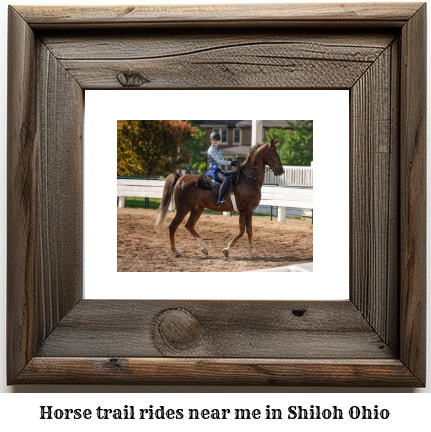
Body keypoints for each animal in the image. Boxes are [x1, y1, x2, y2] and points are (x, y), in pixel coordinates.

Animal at [154, 140, 284, 258]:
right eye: (274, 154)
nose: (281, 171)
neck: (249, 178)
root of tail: (181, 177)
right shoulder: (247, 210)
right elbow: (249, 230)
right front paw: (253, 250)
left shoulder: (243, 211)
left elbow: (241, 231)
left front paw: (227, 249)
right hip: (183, 208)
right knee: (173, 226)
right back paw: (176, 251)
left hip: (197, 208)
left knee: (189, 225)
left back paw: (204, 248)